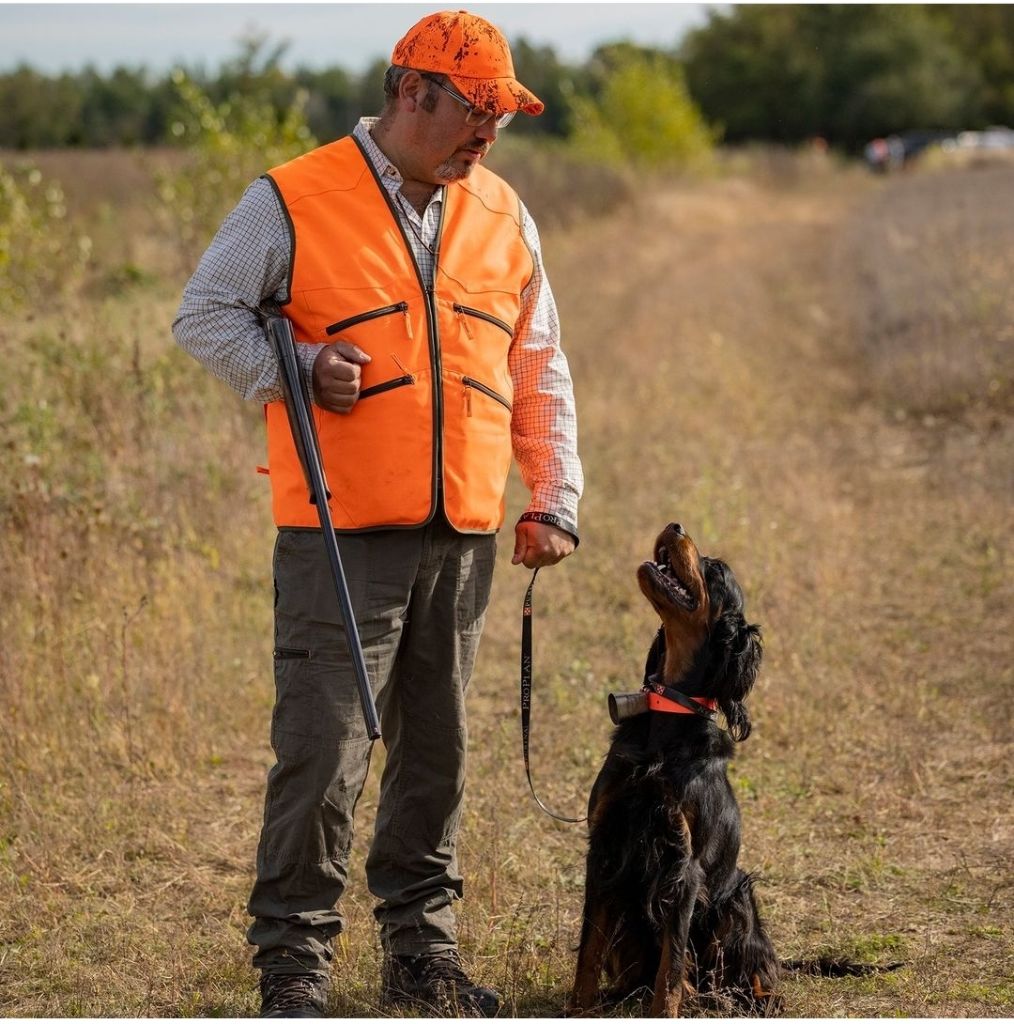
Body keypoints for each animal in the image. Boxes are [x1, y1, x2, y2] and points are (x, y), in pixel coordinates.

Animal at [573, 524, 778, 1019]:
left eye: (716, 570)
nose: (675, 526)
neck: (668, 715)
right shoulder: (605, 846)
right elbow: (589, 953)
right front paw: (575, 1011)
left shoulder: (684, 867)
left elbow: (671, 970)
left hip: (737, 896)